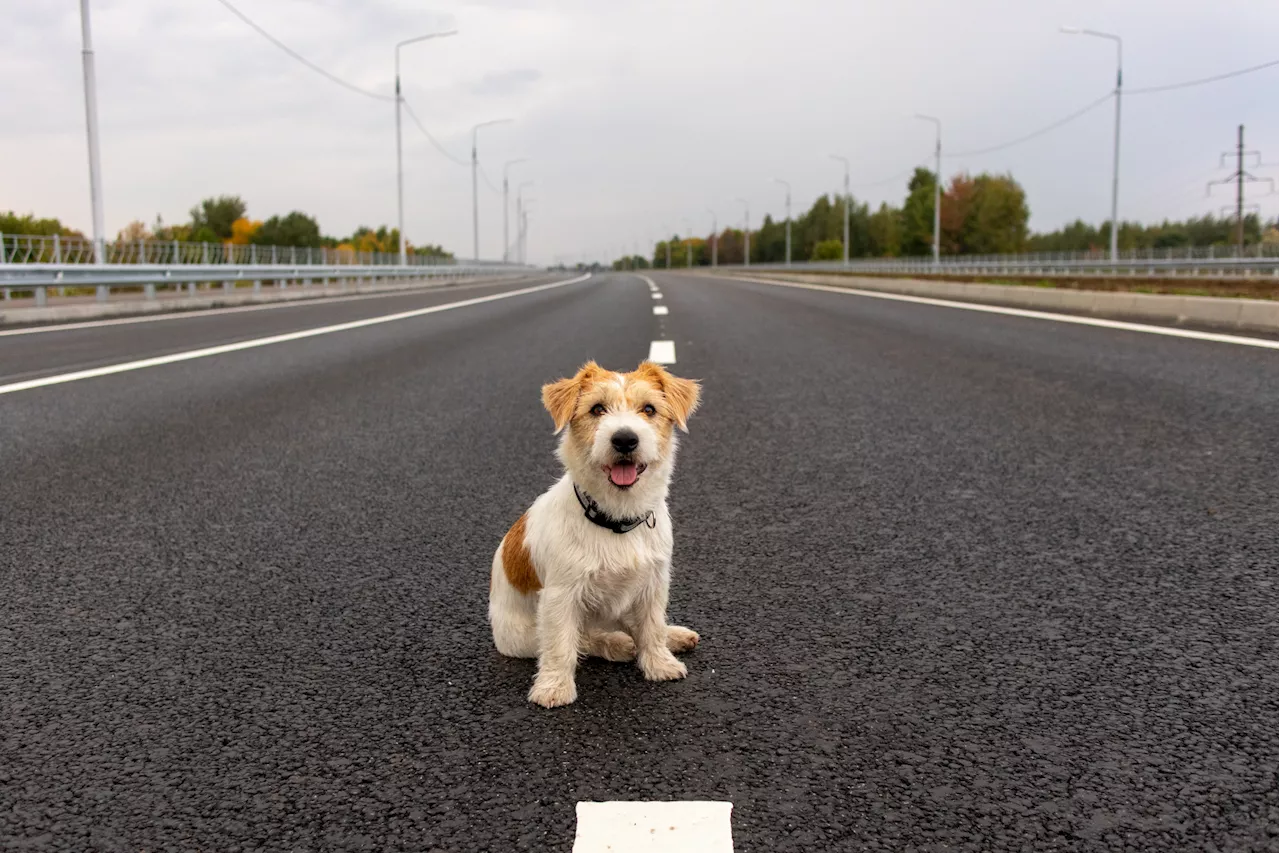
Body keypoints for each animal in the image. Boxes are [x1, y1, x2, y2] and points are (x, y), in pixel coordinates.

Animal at [488, 358, 706, 701]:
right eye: (597, 409)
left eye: (649, 409)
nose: (625, 439)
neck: (616, 519)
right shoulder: (560, 596)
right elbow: (561, 645)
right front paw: (554, 687)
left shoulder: (653, 583)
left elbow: (652, 626)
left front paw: (660, 663)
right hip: (522, 635)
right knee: (583, 639)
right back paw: (617, 643)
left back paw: (672, 636)